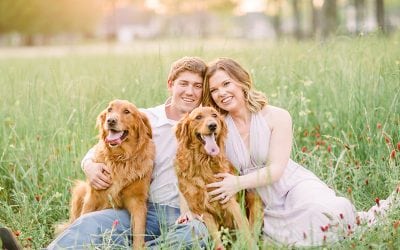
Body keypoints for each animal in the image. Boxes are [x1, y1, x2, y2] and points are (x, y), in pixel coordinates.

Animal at [56, 99, 155, 248]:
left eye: (127, 111)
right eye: (109, 110)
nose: (111, 120)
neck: (120, 159)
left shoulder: (137, 202)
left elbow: (138, 233)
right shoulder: (92, 197)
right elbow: (82, 221)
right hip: (80, 189)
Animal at [175, 106, 262, 249]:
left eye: (214, 115)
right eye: (198, 117)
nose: (212, 125)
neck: (204, 162)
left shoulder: (230, 201)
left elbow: (245, 230)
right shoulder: (203, 211)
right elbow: (216, 240)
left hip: (254, 198)